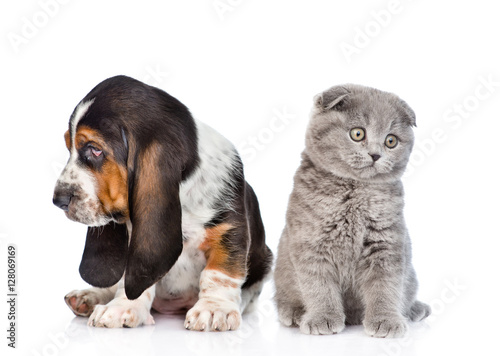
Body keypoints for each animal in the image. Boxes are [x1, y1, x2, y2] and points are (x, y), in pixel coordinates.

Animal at [53, 75, 274, 330]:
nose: (57, 199)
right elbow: (131, 278)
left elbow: (219, 273)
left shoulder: (229, 231)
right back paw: (88, 297)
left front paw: (213, 309)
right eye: (69, 147)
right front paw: (122, 307)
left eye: (95, 150)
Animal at [274, 85, 430, 338]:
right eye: (357, 134)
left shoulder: (386, 244)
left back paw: (414, 310)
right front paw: (323, 318)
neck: (354, 192)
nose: (375, 155)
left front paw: (386, 320)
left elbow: (386, 286)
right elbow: (318, 285)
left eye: (391, 141)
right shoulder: (310, 243)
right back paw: (295, 313)